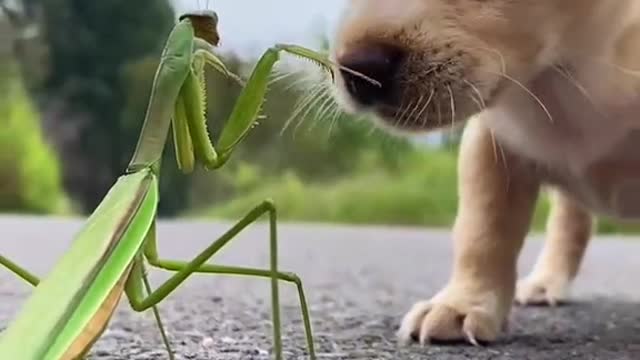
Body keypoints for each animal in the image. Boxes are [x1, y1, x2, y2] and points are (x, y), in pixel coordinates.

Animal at [328, 0, 640, 346]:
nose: (357, 70)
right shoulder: (491, 143)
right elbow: (483, 232)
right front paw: (461, 304)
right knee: (571, 221)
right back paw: (546, 281)